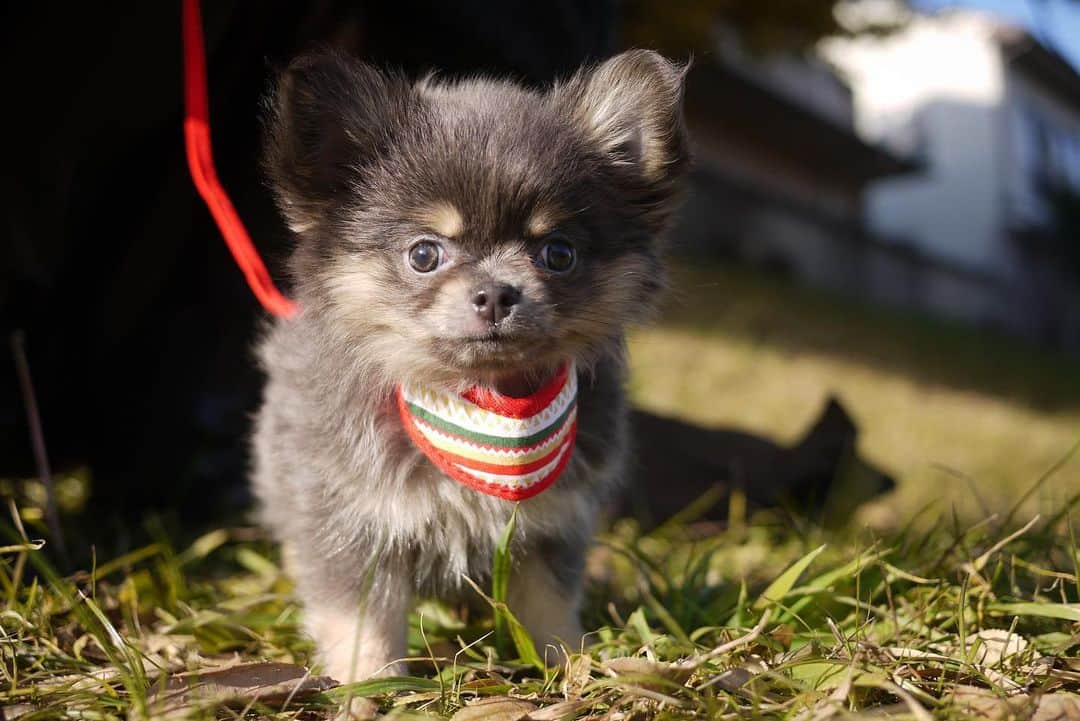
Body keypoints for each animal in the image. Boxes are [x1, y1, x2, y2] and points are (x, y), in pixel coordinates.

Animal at [252, 47, 686, 686]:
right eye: (423, 254)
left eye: (559, 253)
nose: (496, 293)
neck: (480, 403)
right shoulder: (351, 524)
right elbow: (363, 627)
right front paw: (367, 690)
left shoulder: (550, 530)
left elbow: (548, 610)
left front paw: (569, 669)